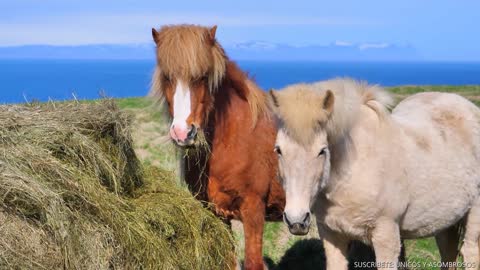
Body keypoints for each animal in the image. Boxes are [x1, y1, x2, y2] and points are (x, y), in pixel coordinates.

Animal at [268, 78, 480, 270]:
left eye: (322, 150)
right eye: (278, 150)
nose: (296, 220)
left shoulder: (386, 235)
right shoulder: (331, 234)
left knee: (469, 251)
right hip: (445, 222)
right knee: (448, 252)